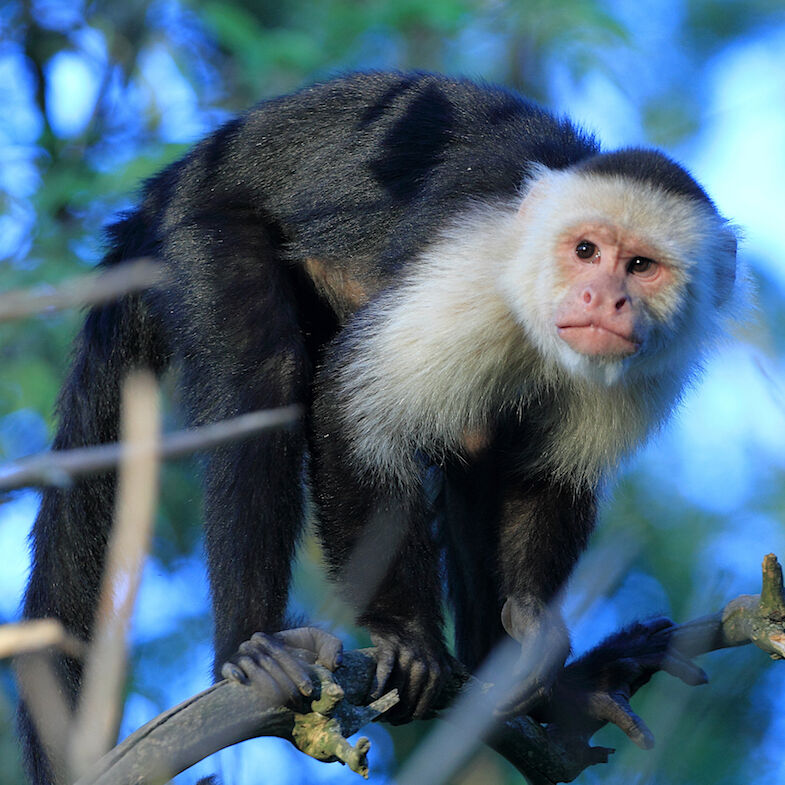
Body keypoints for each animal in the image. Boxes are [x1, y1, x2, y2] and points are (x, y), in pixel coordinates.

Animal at [19, 70, 740, 780]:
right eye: (586, 250)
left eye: (640, 266)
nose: (600, 297)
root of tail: (173, 179)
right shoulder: (471, 273)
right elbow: (350, 405)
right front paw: (408, 634)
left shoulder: (650, 364)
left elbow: (546, 477)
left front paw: (531, 632)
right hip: (201, 230)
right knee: (265, 374)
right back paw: (250, 645)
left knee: (476, 450)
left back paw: (522, 679)